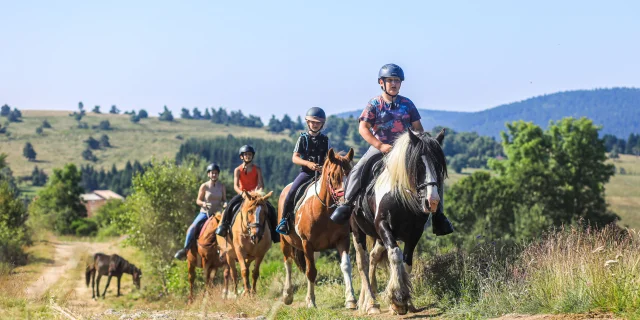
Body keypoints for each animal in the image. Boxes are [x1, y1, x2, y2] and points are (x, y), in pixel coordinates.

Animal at [278, 148, 358, 310]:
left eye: (351, 173)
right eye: (332, 176)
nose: (347, 202)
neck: (325, 212)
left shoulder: (342, 240)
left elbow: (346, 266)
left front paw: (351, 299)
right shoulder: (307, 243)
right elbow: (311, 272)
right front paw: (310, 301)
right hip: (285, 241)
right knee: (288, 263)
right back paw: (287, 295)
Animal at [350, 129, 444, 314]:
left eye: (438, 165)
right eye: (418, 165)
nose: (432, 201)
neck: (399, 195)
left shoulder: (415, 232)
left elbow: (407, 262)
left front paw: (408, 301)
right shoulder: (383, 225)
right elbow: (395, 254)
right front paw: (397, 299)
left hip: (379, 238)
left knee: (373, 257)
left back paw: (369, 301)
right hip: (358, 232)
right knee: (362, 262)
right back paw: (370, 303)